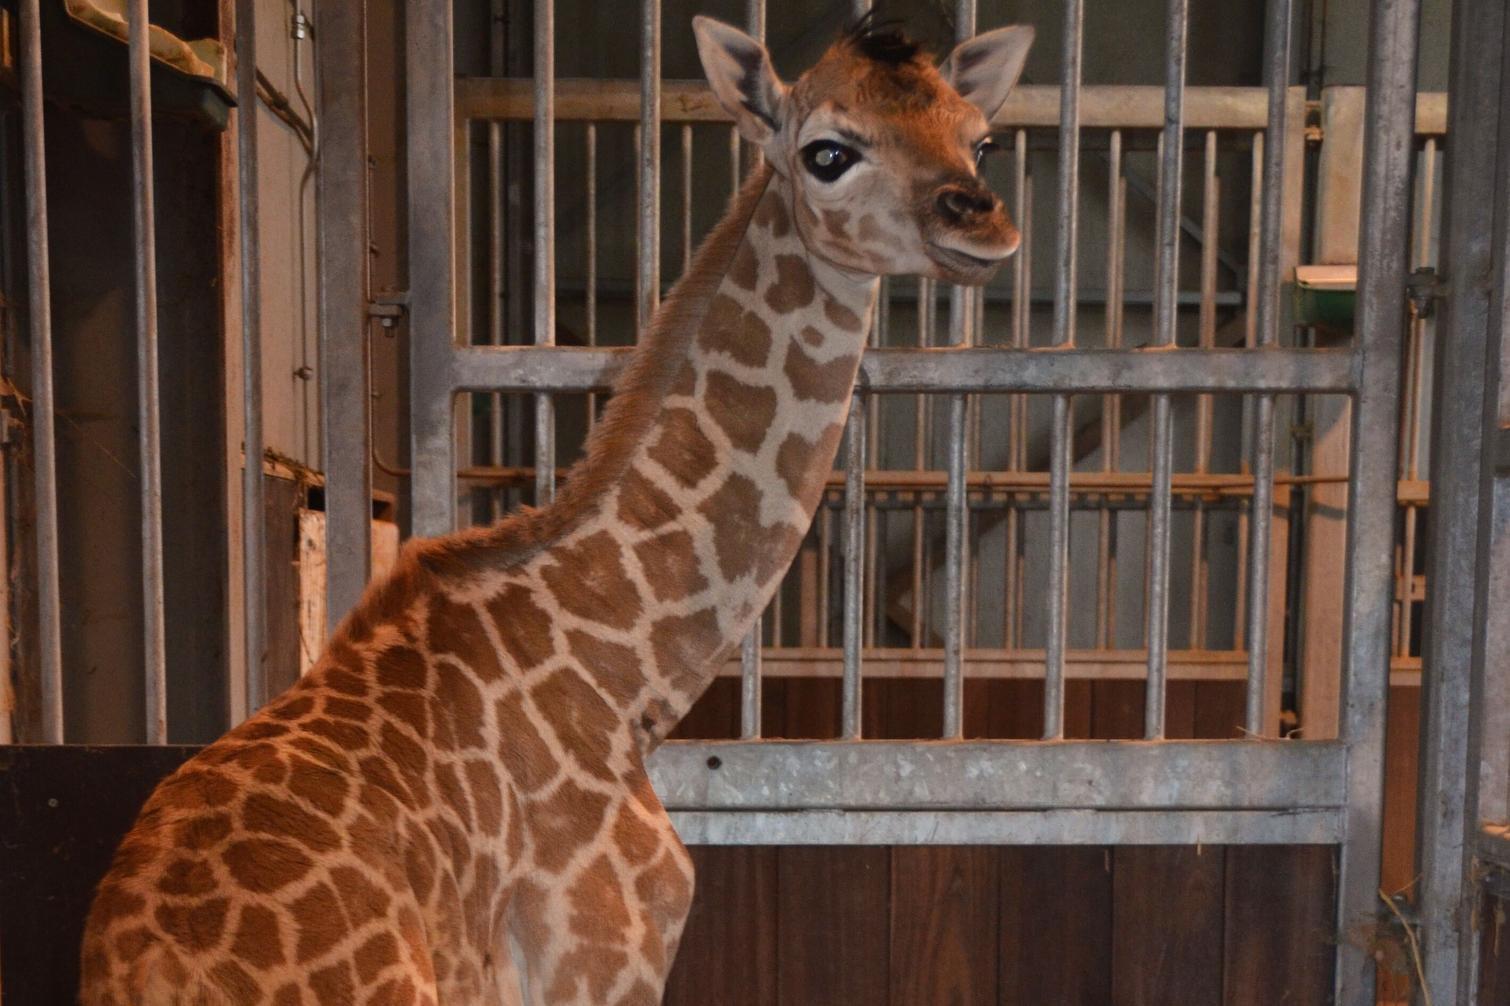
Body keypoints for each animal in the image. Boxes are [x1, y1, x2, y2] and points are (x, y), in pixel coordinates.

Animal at [79, 15, 1026, 1002]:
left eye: (981, 139)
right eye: (828, 152)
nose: (983, 219)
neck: (623, 673)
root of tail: (147, 970)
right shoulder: (603, 957)